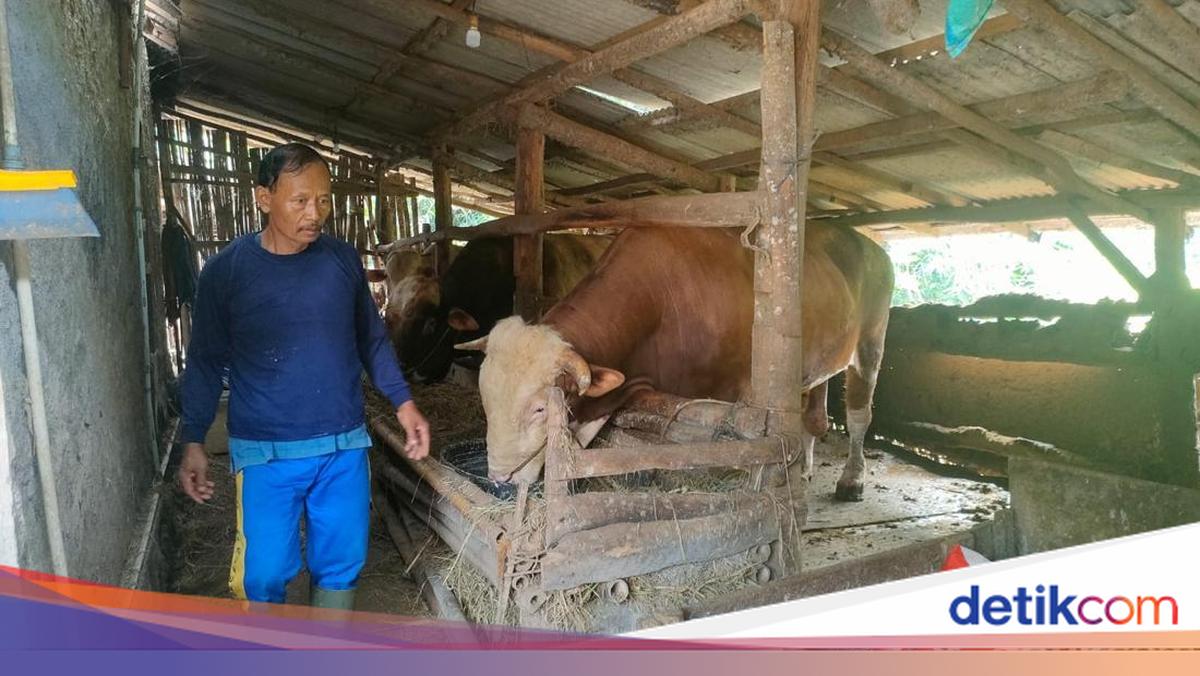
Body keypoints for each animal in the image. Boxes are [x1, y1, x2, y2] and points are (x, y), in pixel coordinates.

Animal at [454, 224, 894, 502]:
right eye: (485, 399)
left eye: (540, 409)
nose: (500, 477)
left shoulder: (741, 393)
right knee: (813, 415)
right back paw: (805, 468)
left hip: (871, 342)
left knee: (859, 415)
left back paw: (852, 480)